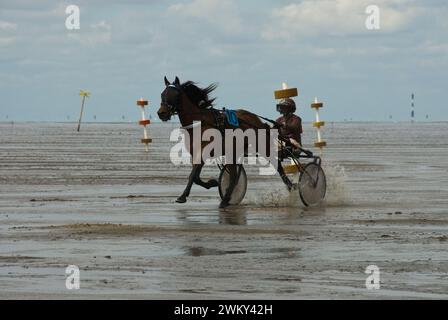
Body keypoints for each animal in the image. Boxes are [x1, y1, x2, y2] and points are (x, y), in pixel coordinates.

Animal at [157, 76, 290, 209]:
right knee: (234, 176)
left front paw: (182, 196)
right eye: (162, 94)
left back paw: (291, 187)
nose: (161, 113)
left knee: (277, 165)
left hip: (262, 145)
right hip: (233, 151)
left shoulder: (203, 152)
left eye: (176, 94)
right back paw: (226, 199)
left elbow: (193, 175)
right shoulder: (196, 154)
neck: (200, 123)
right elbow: (196, 177)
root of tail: (257, 120)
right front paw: (213, 182)